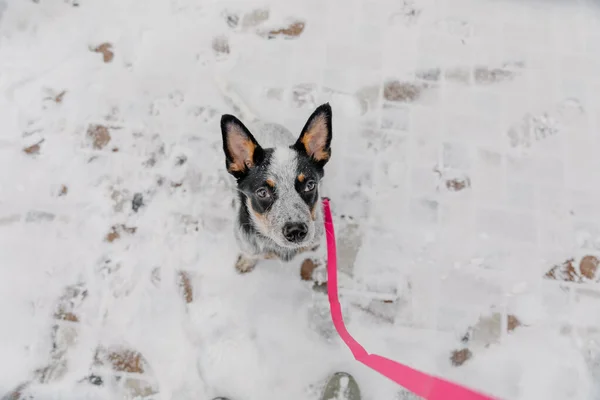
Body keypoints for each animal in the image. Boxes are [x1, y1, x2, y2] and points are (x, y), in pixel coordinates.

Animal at [220, 103, 332, 274]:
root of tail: (259, 121)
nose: (296, 231)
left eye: (310, 185)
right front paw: (246, 262)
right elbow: (250, 254)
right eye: (262, 192)